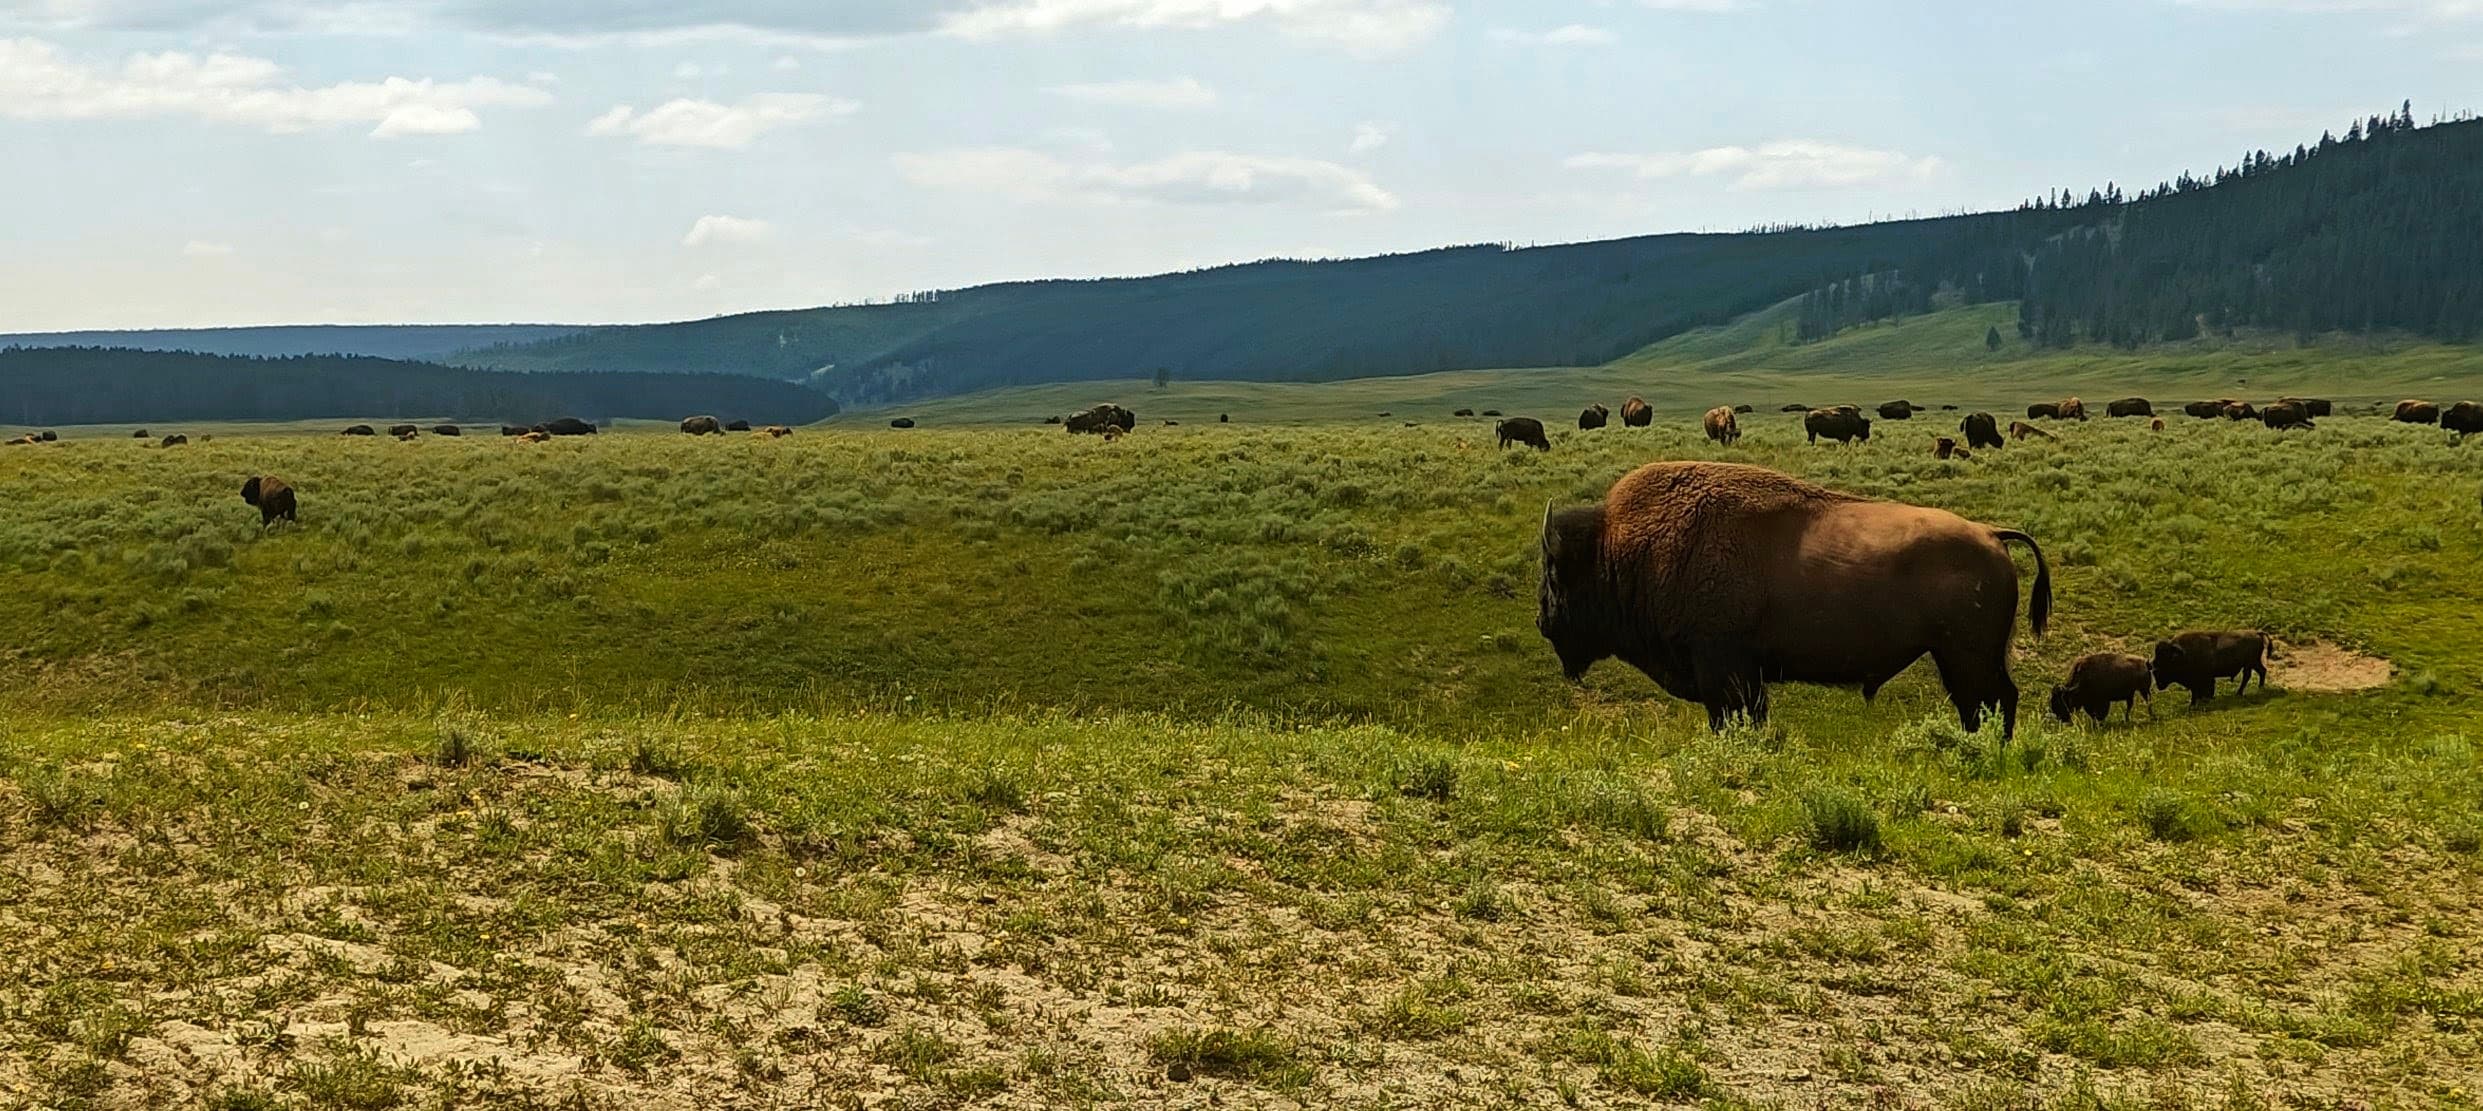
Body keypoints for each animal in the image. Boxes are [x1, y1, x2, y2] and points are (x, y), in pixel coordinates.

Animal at [1538, 461, 2051, 734]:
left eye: (1553, 574)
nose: (1542, 620)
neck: (1619, 547)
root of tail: (1991, 533)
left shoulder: (1724, 668)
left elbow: (1735, 717)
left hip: (1966, 656)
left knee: (1991, 700)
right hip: (1962, 657)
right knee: (1986, 702)